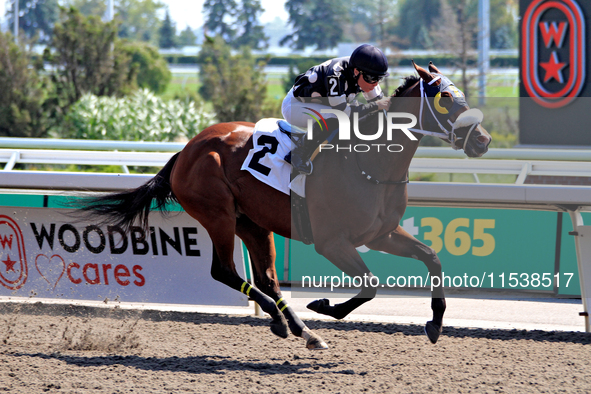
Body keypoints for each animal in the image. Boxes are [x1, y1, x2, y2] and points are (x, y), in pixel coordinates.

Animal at [80, 63, 494, 350]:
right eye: (446, 99)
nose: (483, 141)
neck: (371, 164)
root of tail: (188, 149)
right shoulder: (332, 242)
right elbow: (371, 285)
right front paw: (325, 305)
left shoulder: (382, 234)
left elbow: (432, 258)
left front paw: (435, 325)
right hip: (218, 214)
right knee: (224, 270)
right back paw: (288, 322)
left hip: (252, 222)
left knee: (266, 276)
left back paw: (299, 329)